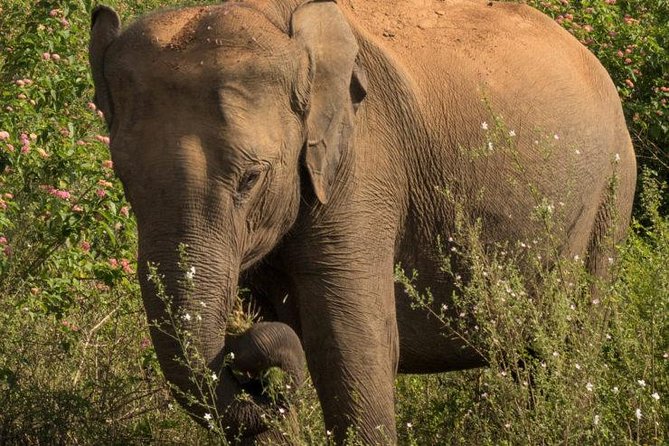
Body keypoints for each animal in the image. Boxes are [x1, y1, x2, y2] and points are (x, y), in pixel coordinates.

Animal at [90, 0, 636, 442]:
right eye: (124, 178)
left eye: (250, 178)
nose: (247, 365)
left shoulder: (364, 161)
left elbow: (350, 344)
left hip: (610, 192)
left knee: (567, 344)